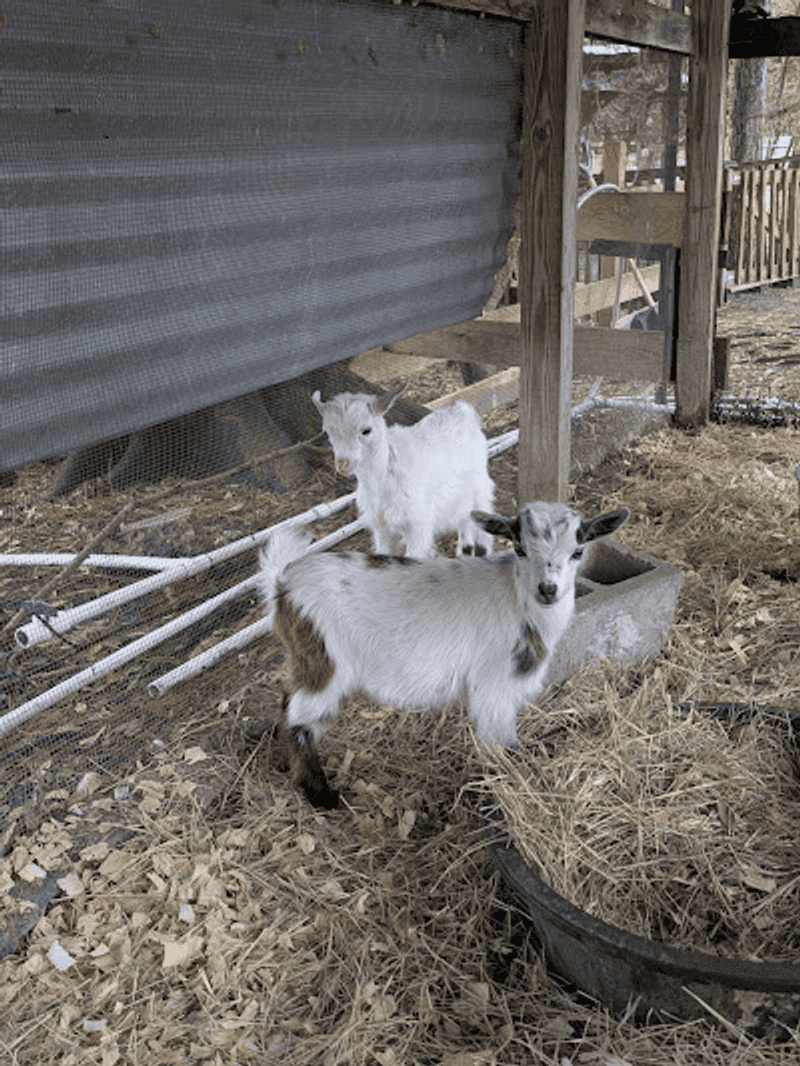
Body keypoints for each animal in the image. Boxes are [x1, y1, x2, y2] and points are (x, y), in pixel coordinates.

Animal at [258, 501, 629, 809]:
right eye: (520, 548)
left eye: (578, 551)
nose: (548, 590)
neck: (518, 600)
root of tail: (283, 581)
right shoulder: (493, 686)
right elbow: (500, 742)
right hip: (326, 658)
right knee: (298, 715)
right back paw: (321, 795)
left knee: (287, 699)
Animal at [311, 385, 495, 558]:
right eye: (328, 433)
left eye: (366, 430)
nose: (343, 464)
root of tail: (461, 409)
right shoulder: (381, 526)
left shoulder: (418, 525)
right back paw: (464, 550)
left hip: (480, 485)